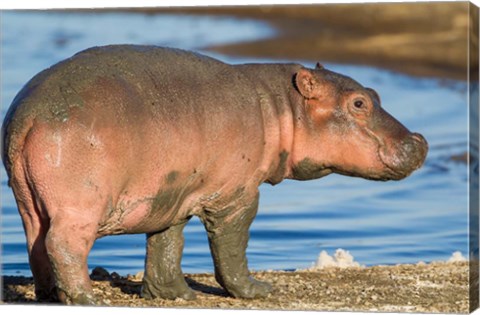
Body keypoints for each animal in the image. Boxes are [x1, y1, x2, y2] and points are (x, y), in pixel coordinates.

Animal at [0, 45, 428, 306]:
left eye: (374, 92)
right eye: (359, 103)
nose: (420, 140)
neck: (282, 107)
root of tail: (28, 114)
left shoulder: (172, 194)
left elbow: (167, 243)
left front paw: (175, 294)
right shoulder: (236, 195)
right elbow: (232, 246)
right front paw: (258, 290)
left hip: (27, 200)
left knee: (37, 244)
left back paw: (50, 296)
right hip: (80, 206)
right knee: (64, 246)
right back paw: (86, 298)